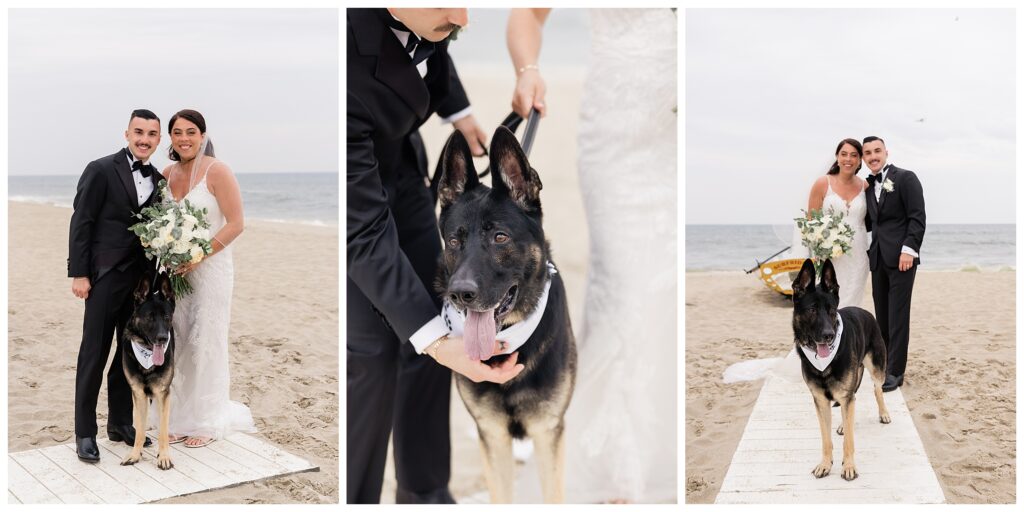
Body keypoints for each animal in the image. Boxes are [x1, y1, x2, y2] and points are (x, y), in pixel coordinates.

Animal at [119, 272, 176, 468]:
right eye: (150, 317)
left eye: (166, 316)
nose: (163, 338)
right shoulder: (138, 393)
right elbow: (139, 430)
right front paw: (135, 454)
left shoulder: (163, 393)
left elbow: (164, 430)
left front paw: (164, 456)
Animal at [786, 260, 892, 479]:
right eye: (812, 310)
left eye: (832, 310)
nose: (829, 335)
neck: (824, 363)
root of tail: (866, 312)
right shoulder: (821, 402)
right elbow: (826, 439)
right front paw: (825, 464)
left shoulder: (845, 396)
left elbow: (849, 441)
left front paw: (849, 466)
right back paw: (844, 424)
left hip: (877, 370)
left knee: (877, 389)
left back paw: (883, 413)